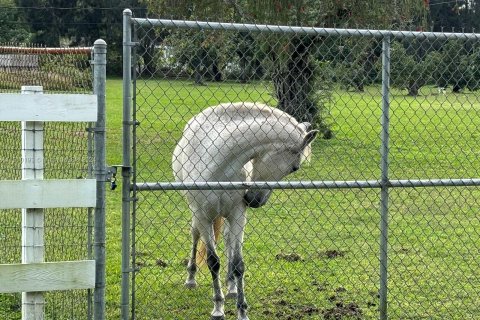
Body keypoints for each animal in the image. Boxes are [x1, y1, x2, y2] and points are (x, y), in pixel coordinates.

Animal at [172, 102, 318, 320]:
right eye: (295, 167)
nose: (255, 201)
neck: (217, 163)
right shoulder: (202, 216)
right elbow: (213, 261)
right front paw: (218, 308)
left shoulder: (237, 214)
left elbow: (238, 264)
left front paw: (242, 310)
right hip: (198, 216)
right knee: (195, 235)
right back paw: (191, 278)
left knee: (228, 241)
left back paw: (231, 288)